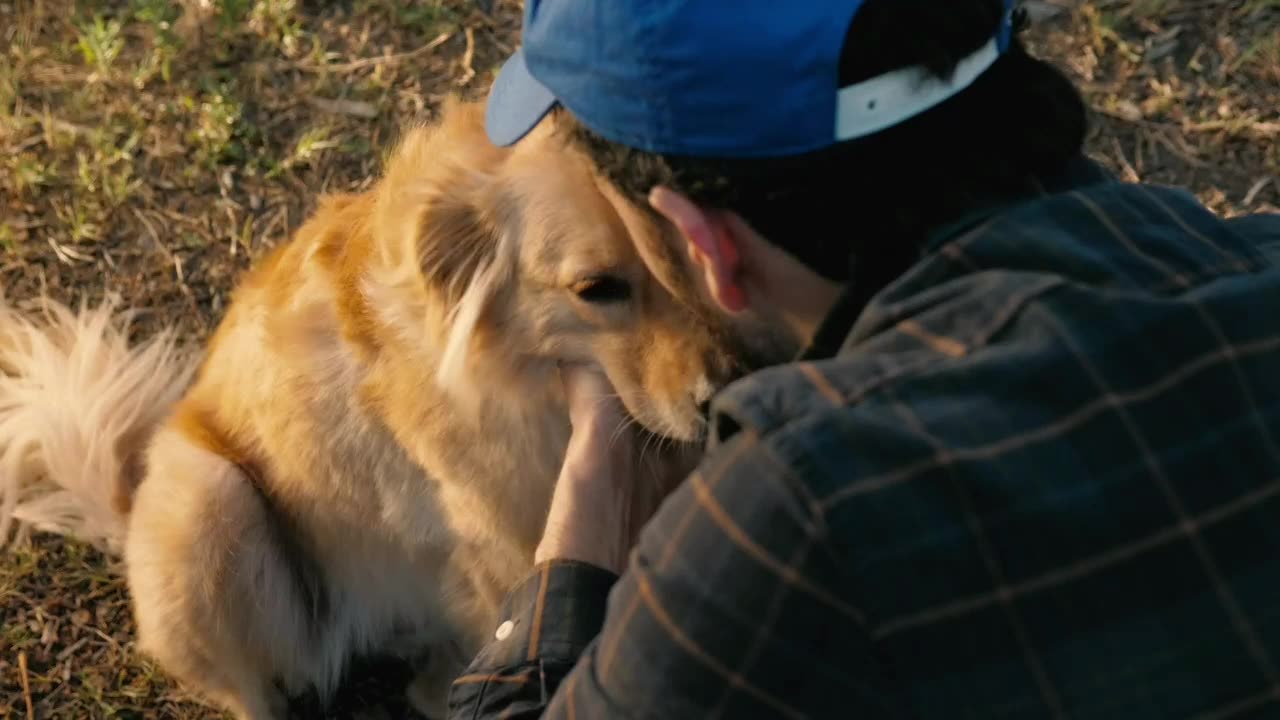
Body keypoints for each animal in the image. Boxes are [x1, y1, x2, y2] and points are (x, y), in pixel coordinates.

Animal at [2, 99, 742, 717]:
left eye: (691, 252)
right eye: (597, 288)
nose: (722, 395)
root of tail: (124, 513)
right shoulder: (503, 546)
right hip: (208, 498)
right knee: (254, 694)